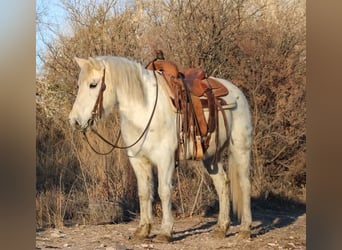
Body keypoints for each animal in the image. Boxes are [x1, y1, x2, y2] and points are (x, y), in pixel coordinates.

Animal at [69, 55, 254, 241]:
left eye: (93, 84)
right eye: (78, 85)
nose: (75, 121)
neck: (144, 110)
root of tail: (236, 91)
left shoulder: (166, 158)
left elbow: (163, 191)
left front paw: (166, 231)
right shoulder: (138, 159)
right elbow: (144, 192)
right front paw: (143, 230)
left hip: (240, 149)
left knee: (245, 184)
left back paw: (245, 229)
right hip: (210, 157)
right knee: (222, 183)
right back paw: (222, 228)